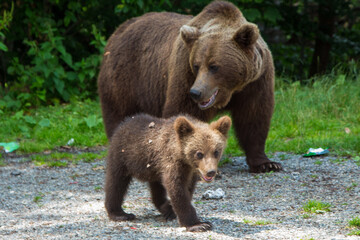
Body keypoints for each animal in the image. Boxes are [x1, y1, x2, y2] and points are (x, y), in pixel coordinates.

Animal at [97, 0, 282, 172]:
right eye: (197, 65)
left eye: (214, 66)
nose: (195, 92)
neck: (232, 90)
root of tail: (120, 29)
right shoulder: (184, 71)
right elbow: (183, 111)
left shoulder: (256, 82)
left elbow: (254, 117)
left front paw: (267, 164)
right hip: (125, 77)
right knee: (119, 114)